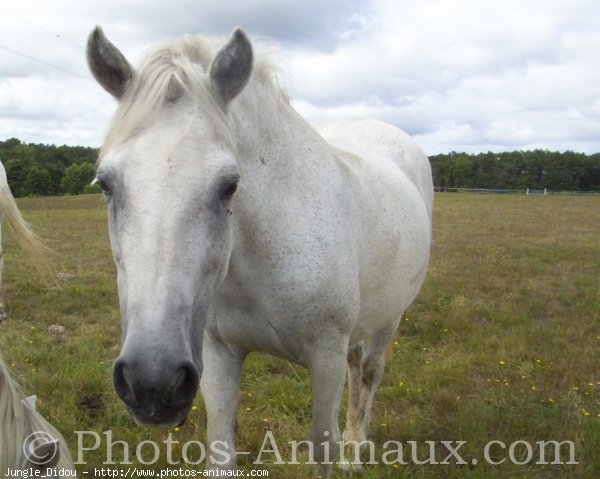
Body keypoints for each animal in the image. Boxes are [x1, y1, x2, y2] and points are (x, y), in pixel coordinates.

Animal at [88, 27, 432, 479]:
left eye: (230, 185)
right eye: (106, 184)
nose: (152, 383)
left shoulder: (325, 360)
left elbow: (323, 447)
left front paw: (340, 453)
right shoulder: (218, 356)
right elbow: (221, 450)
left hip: (389, 318)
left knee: (370, 373)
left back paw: (355, 452)